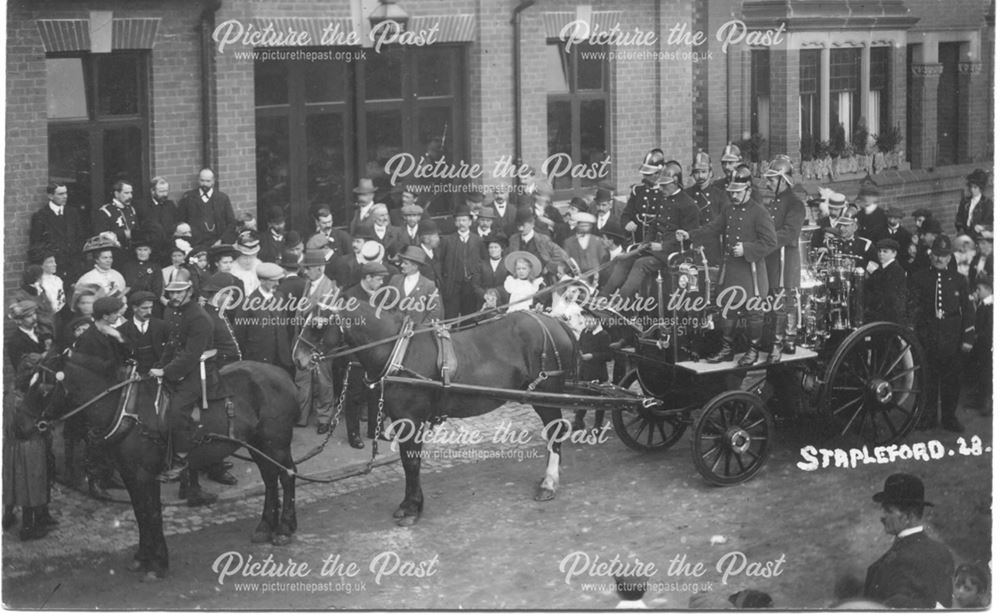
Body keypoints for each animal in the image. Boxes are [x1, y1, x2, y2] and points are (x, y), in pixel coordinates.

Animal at [28, 354, 300, 580]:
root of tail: (283, 373)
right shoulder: (129, 474)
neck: (126, 408)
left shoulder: (144, 475)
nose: (28, 426)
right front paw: (143, 557)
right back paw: (265, 527)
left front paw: (158, 563)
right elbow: (141, 514)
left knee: (287, 477)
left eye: (44, 387)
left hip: (275, 444)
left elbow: (152, 514)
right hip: (257, 445)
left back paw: (284, 529)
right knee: (270, 479)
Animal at [294, 300, 580, 528]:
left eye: (317, 325)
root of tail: (555, 323)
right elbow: (409, 461)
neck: (399, 352)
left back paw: (549, 483)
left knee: (556, 432)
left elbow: (411, 463)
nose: (297, 358)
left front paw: (411, 508)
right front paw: (411, 504)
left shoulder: (410, 419)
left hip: (545, 395)